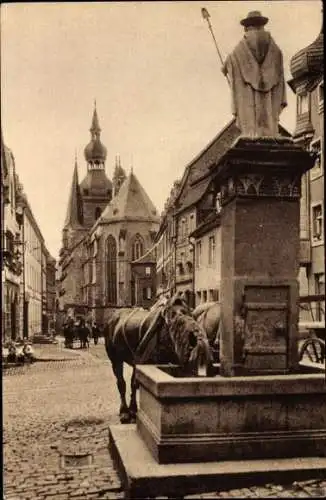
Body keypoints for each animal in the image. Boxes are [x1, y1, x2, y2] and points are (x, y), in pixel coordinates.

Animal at [103, 294, 213, 424]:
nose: (197, 340)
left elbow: (136, 383)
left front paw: (134, 412)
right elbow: (135, 383)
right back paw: (124, 413)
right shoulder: (145, 361)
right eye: (176, 323)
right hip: (115, 358)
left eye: (191, 315)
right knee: (121, 381)